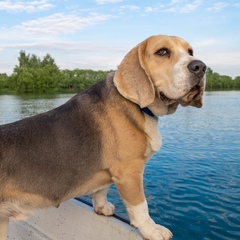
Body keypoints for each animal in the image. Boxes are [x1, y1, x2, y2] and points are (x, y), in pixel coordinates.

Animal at [0, 35, 206, 240]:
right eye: (162, 52)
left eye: (190, 52)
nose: (201, 67)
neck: (138, 105)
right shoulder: (129, 172)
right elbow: (140, 207)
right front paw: (152, 230)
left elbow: (101, 190)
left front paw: (102, 207)